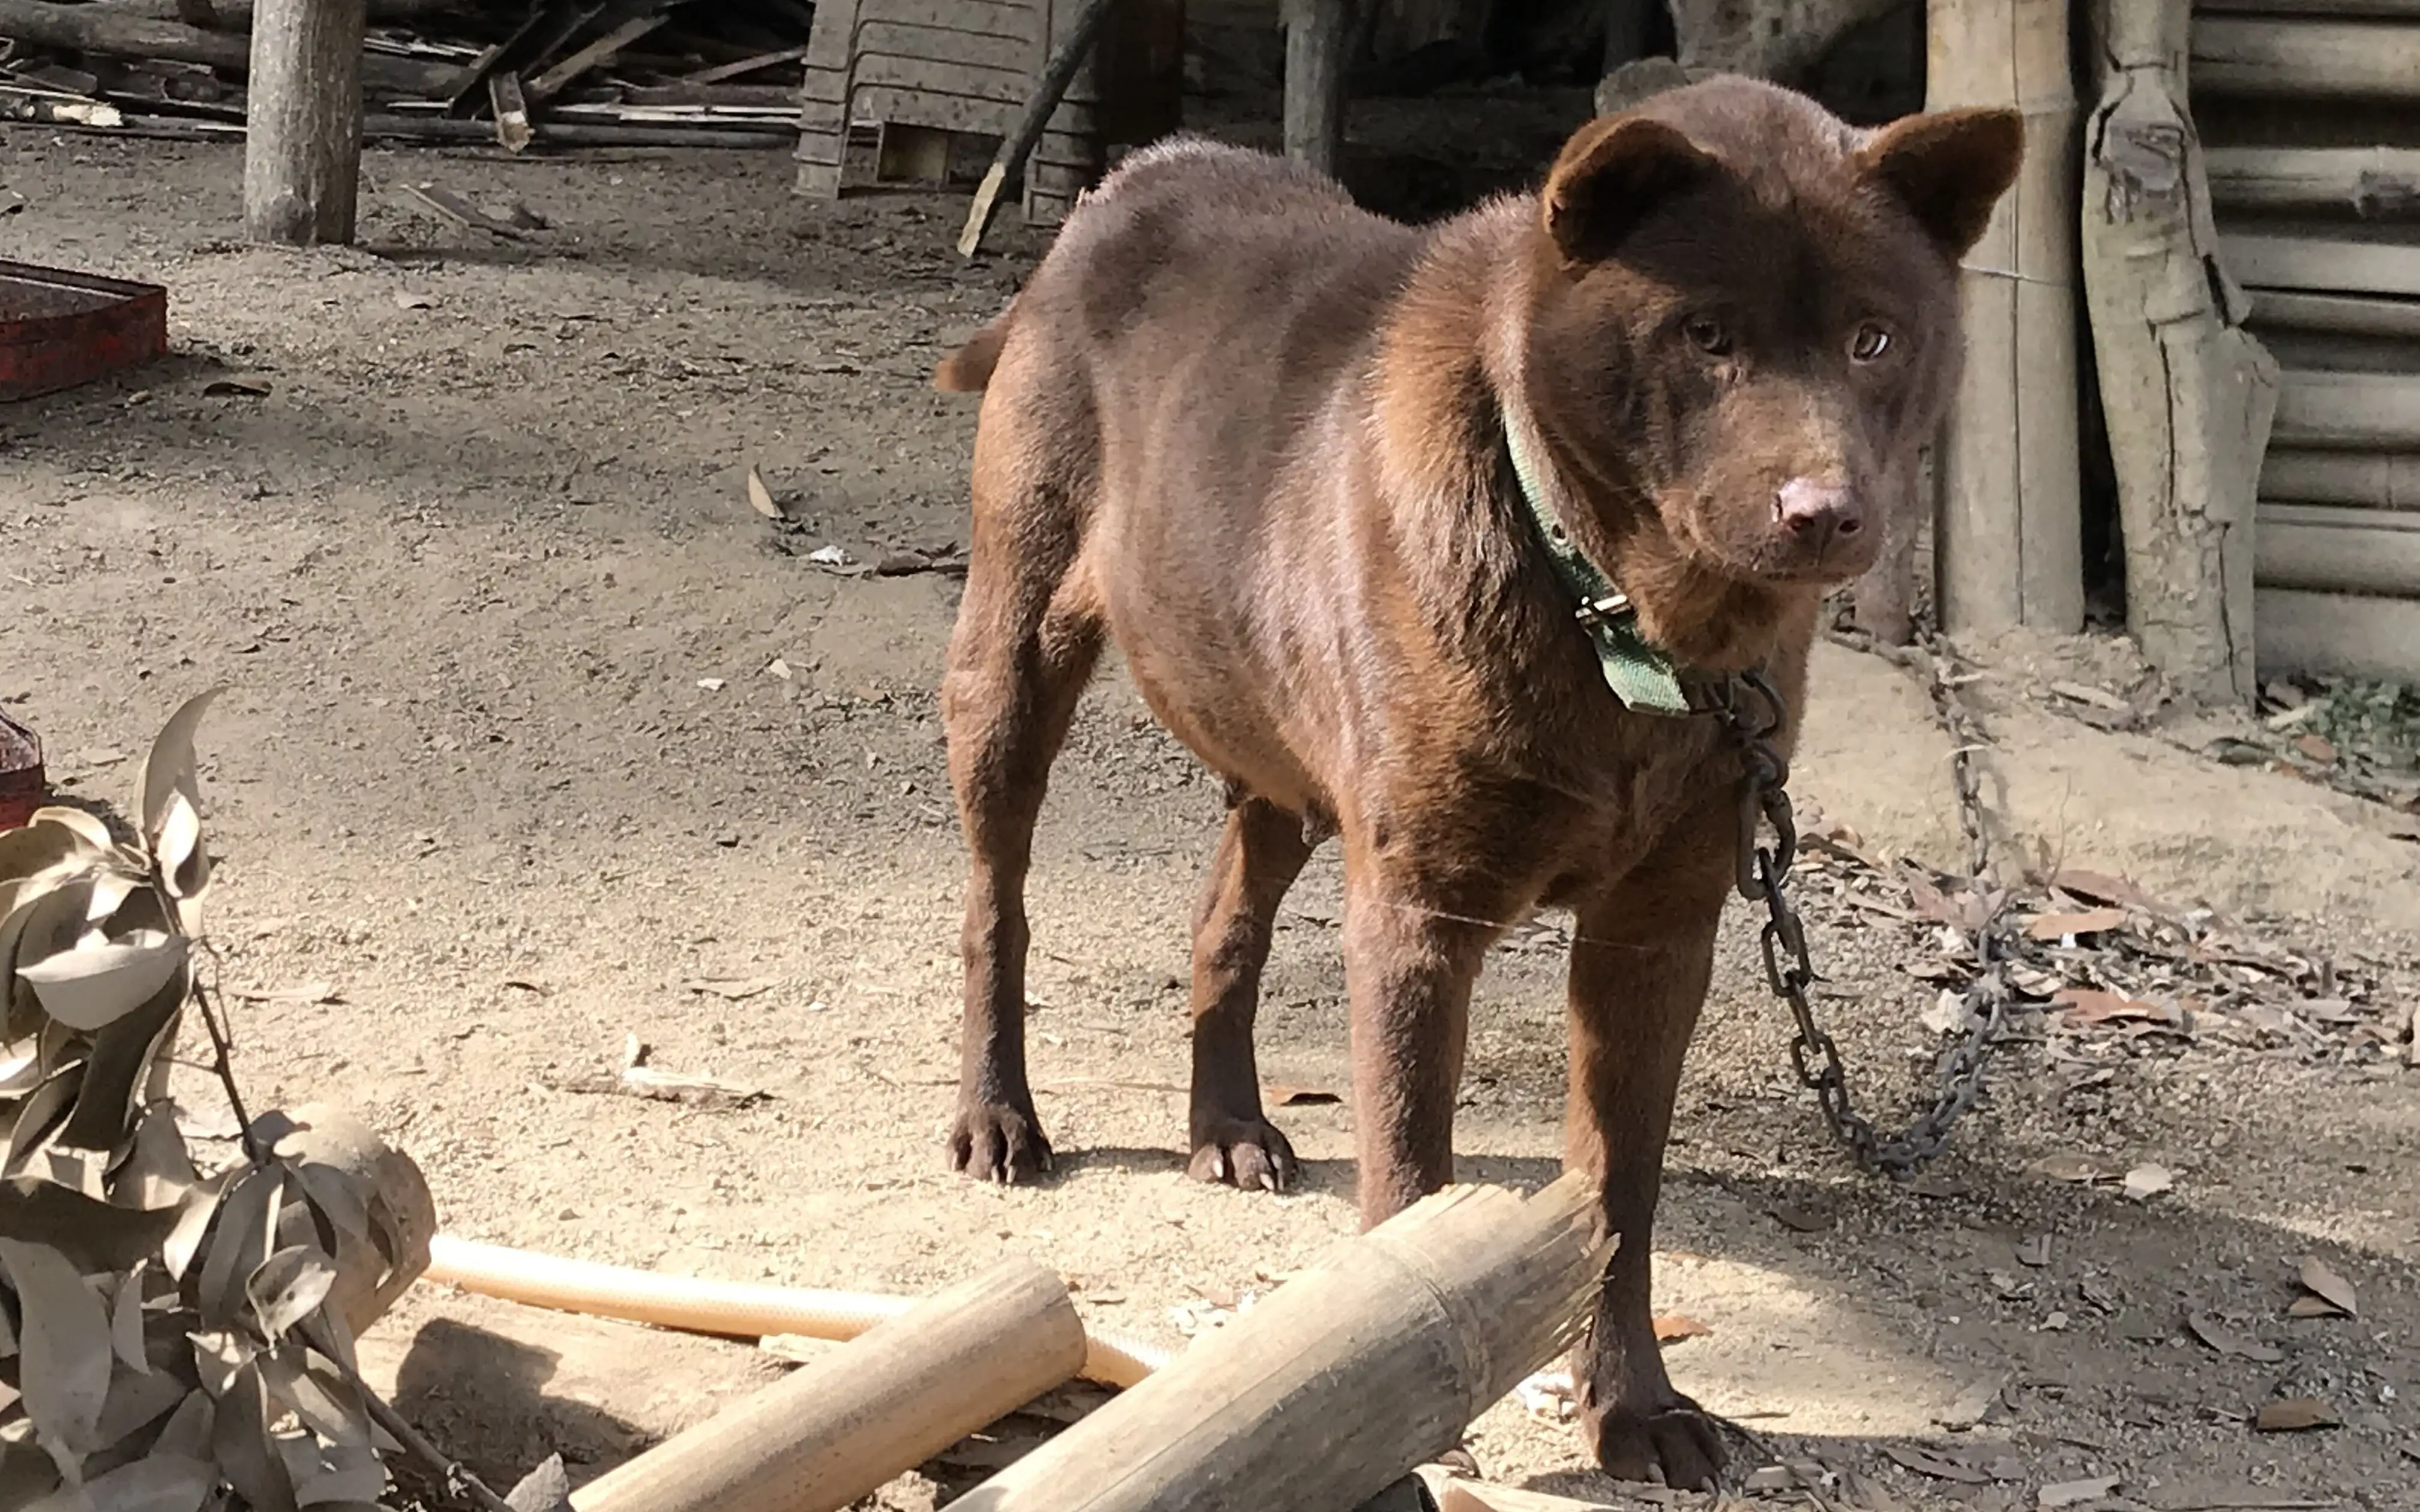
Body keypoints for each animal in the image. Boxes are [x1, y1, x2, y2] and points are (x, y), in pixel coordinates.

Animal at [934, 77, 2013, 1480]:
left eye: (1874, 340)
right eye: (1706, 336)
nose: (1821, 512)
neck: (1628, 629)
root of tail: (1129, 184)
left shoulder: (1656, 938)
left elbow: (1616, 1193)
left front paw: (1635, 1406)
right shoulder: (1419, 919)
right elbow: (1409, 1175)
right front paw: (1399, 1394)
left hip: (1282, 759)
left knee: (1227, 914)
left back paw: (1227, 1125)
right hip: (1016, 659)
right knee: (995, 903)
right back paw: (998, 1115)